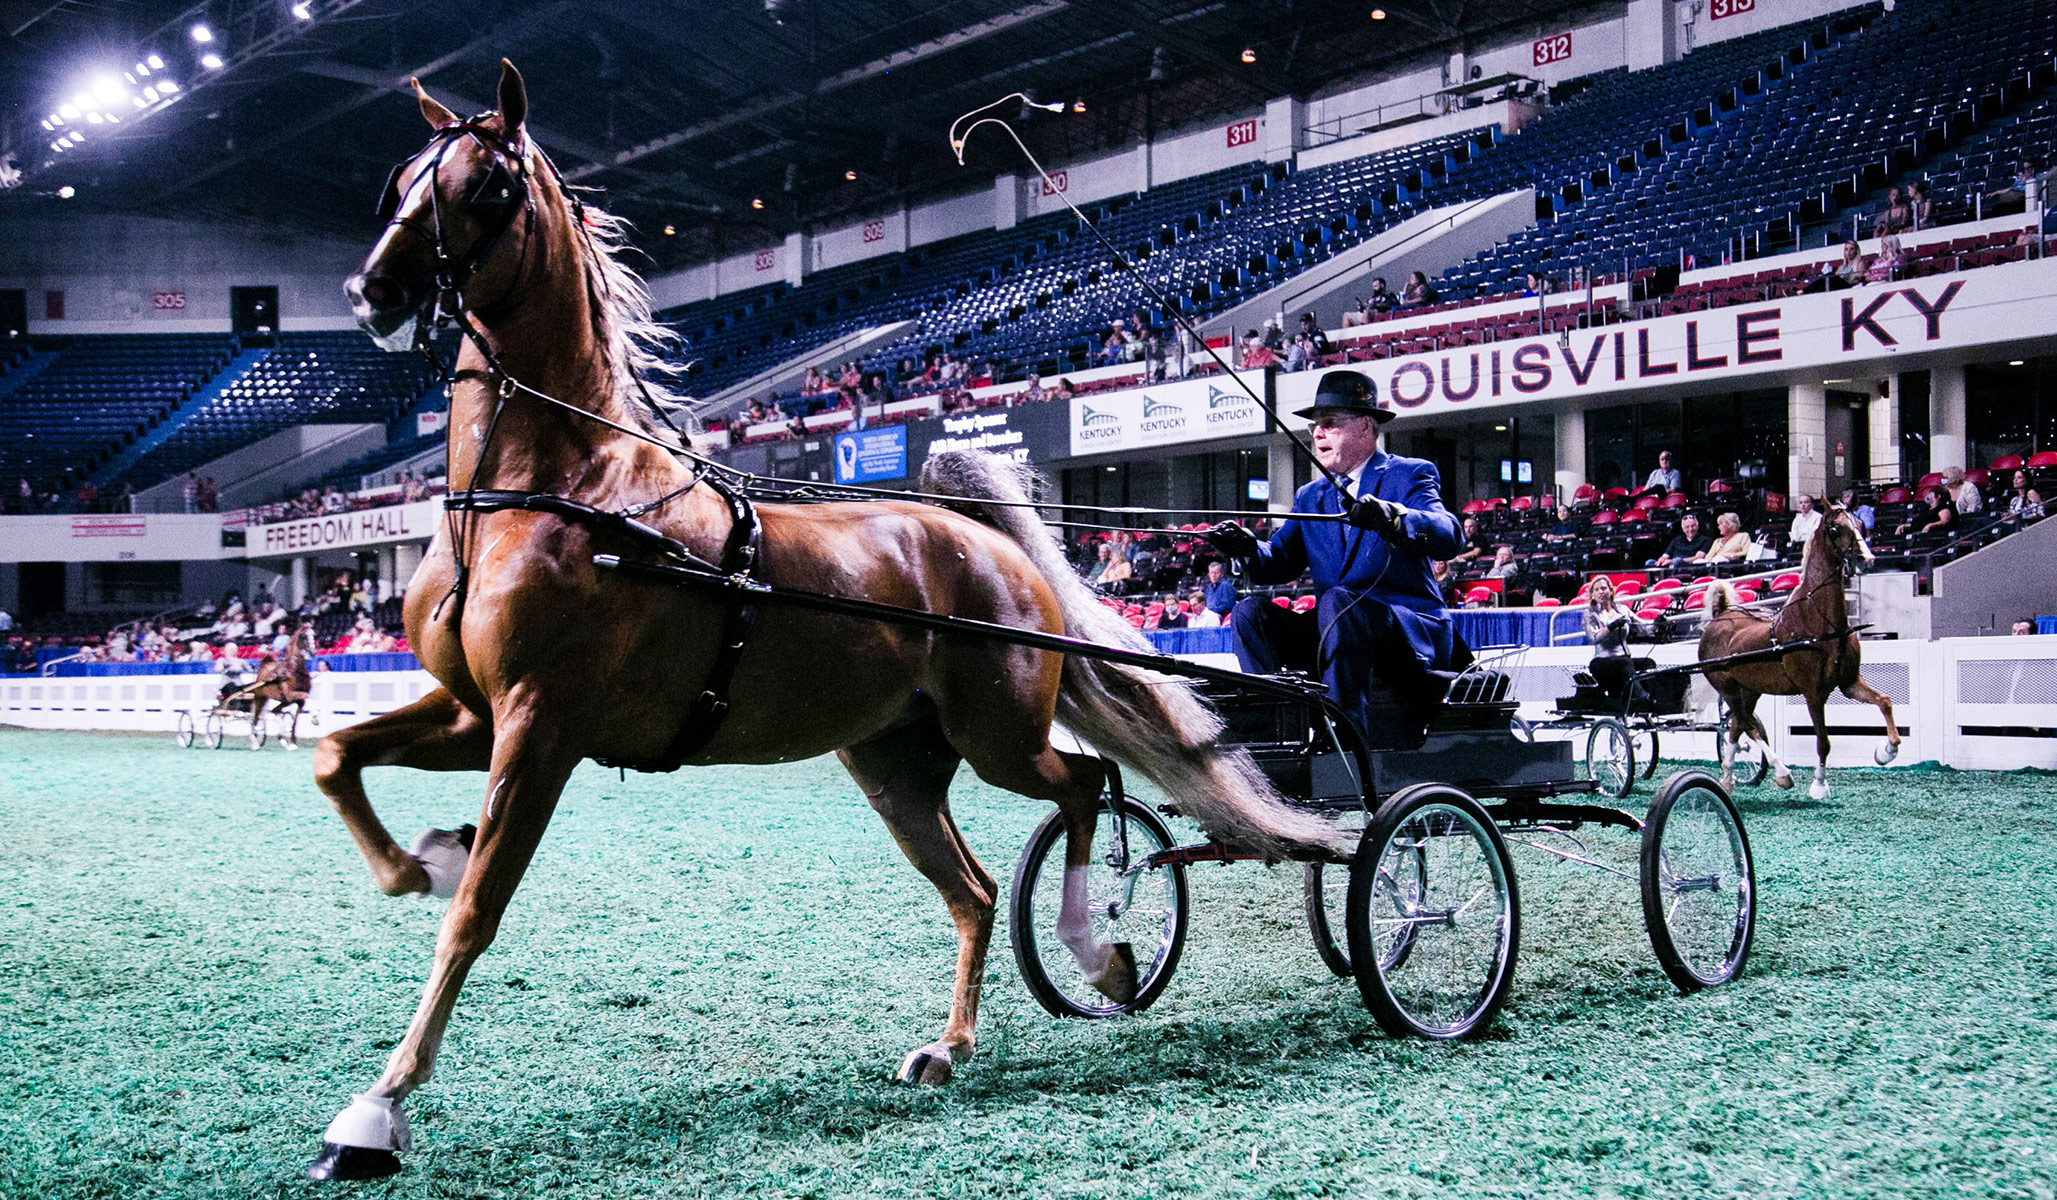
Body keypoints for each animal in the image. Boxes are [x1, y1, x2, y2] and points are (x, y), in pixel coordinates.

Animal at [304, 60, 1332, 1177]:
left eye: (487, 187)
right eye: (402, 178)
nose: (372, 292)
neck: (546, 492)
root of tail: (980, 538)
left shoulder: (540, 723)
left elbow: (475, 915)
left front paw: (376, 1107)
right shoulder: (474, 710)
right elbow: (334, 755)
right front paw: (420, 860)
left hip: (997, 732)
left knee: (1081, 785)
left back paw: (1095, 951)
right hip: (892, 764)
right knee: (976, 887)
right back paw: (948, 1046)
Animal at [1694, 502, 1900, 802]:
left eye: (1860, 525)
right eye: (1835, 528)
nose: (1867, 559)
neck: (1821, 624)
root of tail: (1720, 615)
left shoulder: (1849, 683)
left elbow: (1884, 701)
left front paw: (1886, 752)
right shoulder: (1813, 692)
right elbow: (1823, 741)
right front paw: (1819, 785)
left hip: (1749, 689)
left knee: (1737, 725)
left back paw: (1729, 777)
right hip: (1726, 686)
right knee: (1747, 724)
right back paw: (1782, 774)